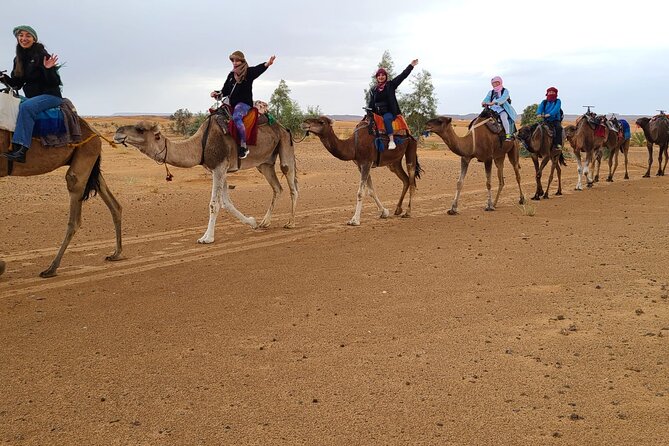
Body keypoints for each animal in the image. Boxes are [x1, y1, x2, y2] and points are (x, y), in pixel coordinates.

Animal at [0, 120, 123, 278]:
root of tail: (95, 133)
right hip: (91, 164)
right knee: (114, 205)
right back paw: (116, 254)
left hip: (85, 155)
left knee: (75, 217)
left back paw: (51, 268)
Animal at [114, 117, 298, 244]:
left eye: (140, 129)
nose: (118, 132)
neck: (199, 145)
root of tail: (284, 127)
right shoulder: (218, 170)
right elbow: (226, 202)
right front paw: (252, 222)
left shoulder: (219, 167)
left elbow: (214, 204)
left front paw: (207, 238)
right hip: (264, 163)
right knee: (277, 187)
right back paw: (265, 223)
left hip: (285, 146)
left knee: (292, 184)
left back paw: (290, 223)